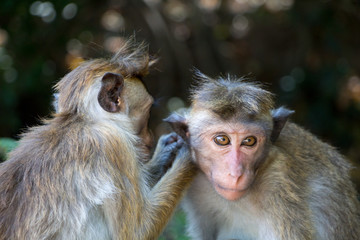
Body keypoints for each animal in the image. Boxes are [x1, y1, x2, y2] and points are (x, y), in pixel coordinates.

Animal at [0, 42, 197, 239]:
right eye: (148, 113)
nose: (150, 137)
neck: (84, 120)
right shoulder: (113, 144)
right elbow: (137, 232)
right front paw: (191, 152)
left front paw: (166, 150)